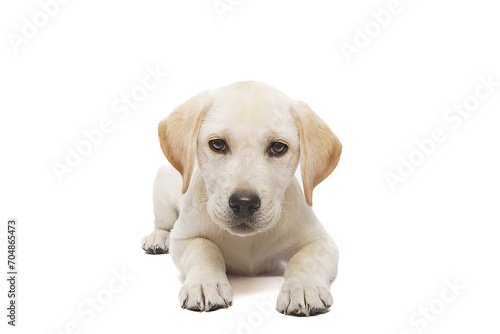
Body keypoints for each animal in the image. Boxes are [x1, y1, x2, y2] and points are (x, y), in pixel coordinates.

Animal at [143, 81, 342, 316]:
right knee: (163, 223)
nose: (244, 203)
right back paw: (157, 238)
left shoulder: (321, 242)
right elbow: (204, 249)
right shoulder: (184, 237)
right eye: (217, 144)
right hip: (162, 186)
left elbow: (304, 259)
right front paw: (205, 283)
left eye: (278, 147)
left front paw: (302, 287)